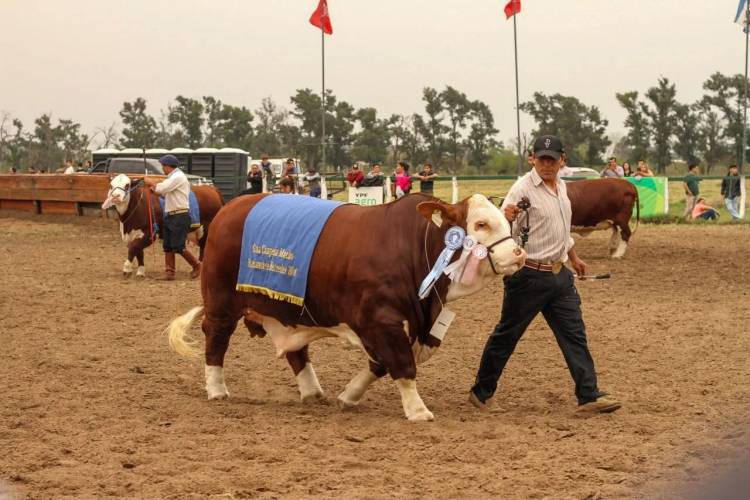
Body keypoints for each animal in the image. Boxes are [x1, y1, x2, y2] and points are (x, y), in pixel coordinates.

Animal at [167, 193, 524, 420]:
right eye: (480, 224)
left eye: (505, 220)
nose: (518, 254)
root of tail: (230, 207)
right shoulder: (380, 320)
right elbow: (402, 365)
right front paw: (418, 410)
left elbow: (379, 365)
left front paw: (349, 395)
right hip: (221, 300)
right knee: (216, 337)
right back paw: (216, 388)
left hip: (291, 310)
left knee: (297, 351)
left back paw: (312, 391)